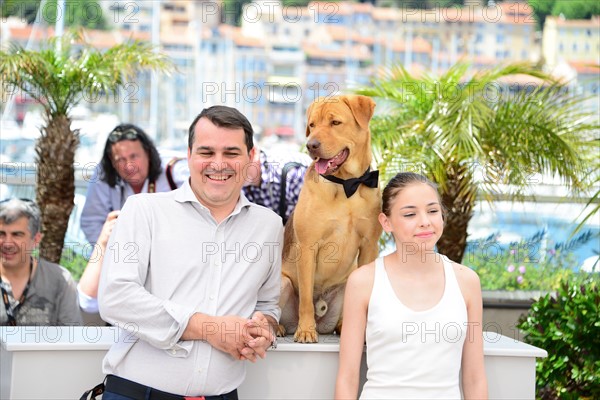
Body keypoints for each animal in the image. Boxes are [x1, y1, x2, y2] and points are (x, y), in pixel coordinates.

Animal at [278, 95, 382, 342]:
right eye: (312, 125)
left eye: (335, 123)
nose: (311, 145)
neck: (346, 185)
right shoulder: (308, 247)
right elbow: (306, 298)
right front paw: (306, 330)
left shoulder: (369, 245)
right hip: (282, 283)